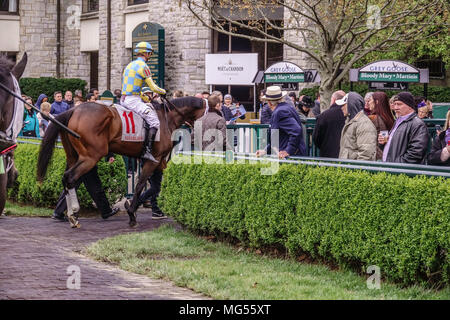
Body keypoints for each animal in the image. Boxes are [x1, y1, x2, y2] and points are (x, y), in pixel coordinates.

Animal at [37, 95, 206, 228]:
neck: (167, 118)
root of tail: (74, 111)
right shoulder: (154, 159)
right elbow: (140, 185)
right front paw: (132, 214)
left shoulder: (154, 161)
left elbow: (151, 186)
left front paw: (139, 208)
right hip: (90, 157)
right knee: (70, 177)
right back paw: (74, 213)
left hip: (74, 157)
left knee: (68, 179)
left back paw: (71, 214)